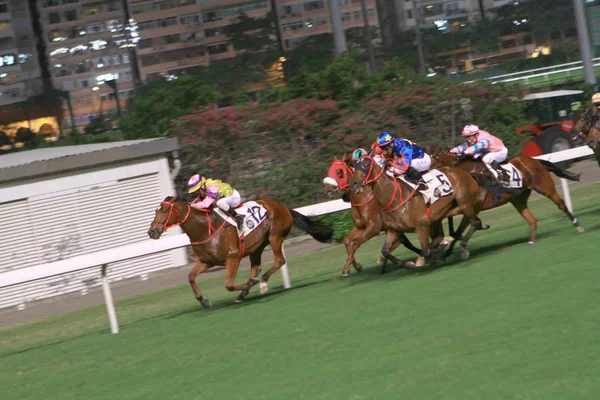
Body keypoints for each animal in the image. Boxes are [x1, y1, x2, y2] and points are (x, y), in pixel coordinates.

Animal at [146, 195, 332, 308]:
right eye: (156, 210)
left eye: (164, 210)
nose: (152, 232)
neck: (205, 228)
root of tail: (283, 206)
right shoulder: (207, 261)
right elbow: (191, 276)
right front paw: (204, 301)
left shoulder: (233, 257)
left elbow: (228, 284)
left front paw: (250, 284)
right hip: (257, 246)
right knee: (256, 267)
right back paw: (245, 291)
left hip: (275, 236)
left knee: (279, 260)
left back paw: (261, 282)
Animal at [346, 156, 496, 268]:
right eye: (354, 166)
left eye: (366, 164)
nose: (354, 184)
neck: (395, 197)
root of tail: (465, 172)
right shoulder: (393, 230)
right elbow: (385, 251)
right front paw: (407, 263)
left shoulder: (421, 226)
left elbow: (426, 250)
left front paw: (433, 253)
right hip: (448, 211)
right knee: (471, 223)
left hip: (465, 204)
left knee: (475, 222)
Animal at [428, 148, 584, 255]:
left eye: (431, 163)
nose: (425, 180)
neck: (468, 174)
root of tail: (533, 160)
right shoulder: (468, 208)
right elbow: (458, 230)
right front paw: (447, 251)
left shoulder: (473, 207)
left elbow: (470, 226)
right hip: (518, 199)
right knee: (531, 219)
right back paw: (531, 241)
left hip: (546, 188)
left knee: (561, 205)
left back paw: (577, 226)